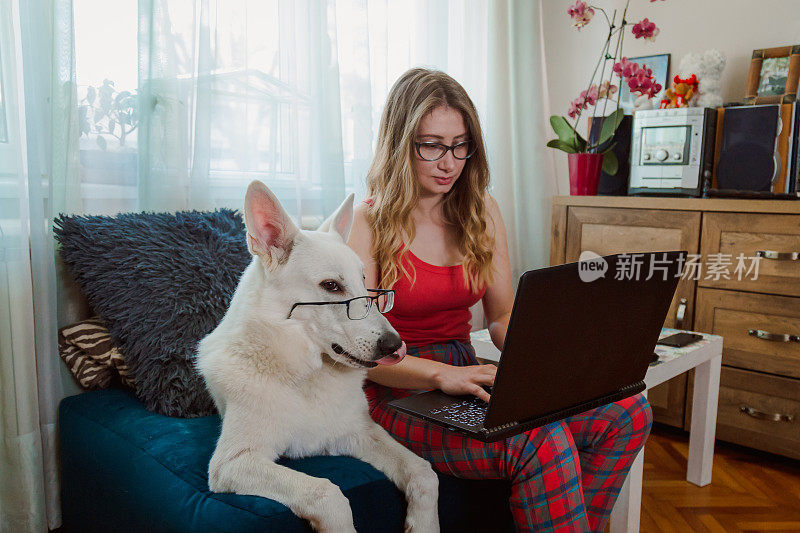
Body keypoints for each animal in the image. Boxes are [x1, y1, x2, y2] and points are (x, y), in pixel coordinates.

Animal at [197, 181, 440, 528]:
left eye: (365, 282)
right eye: (331, 286)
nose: (396, 346)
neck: (307, 374)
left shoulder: (359, 432)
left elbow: (423, 472)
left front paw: (423, 525)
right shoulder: (233, 462)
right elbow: (326, 493)